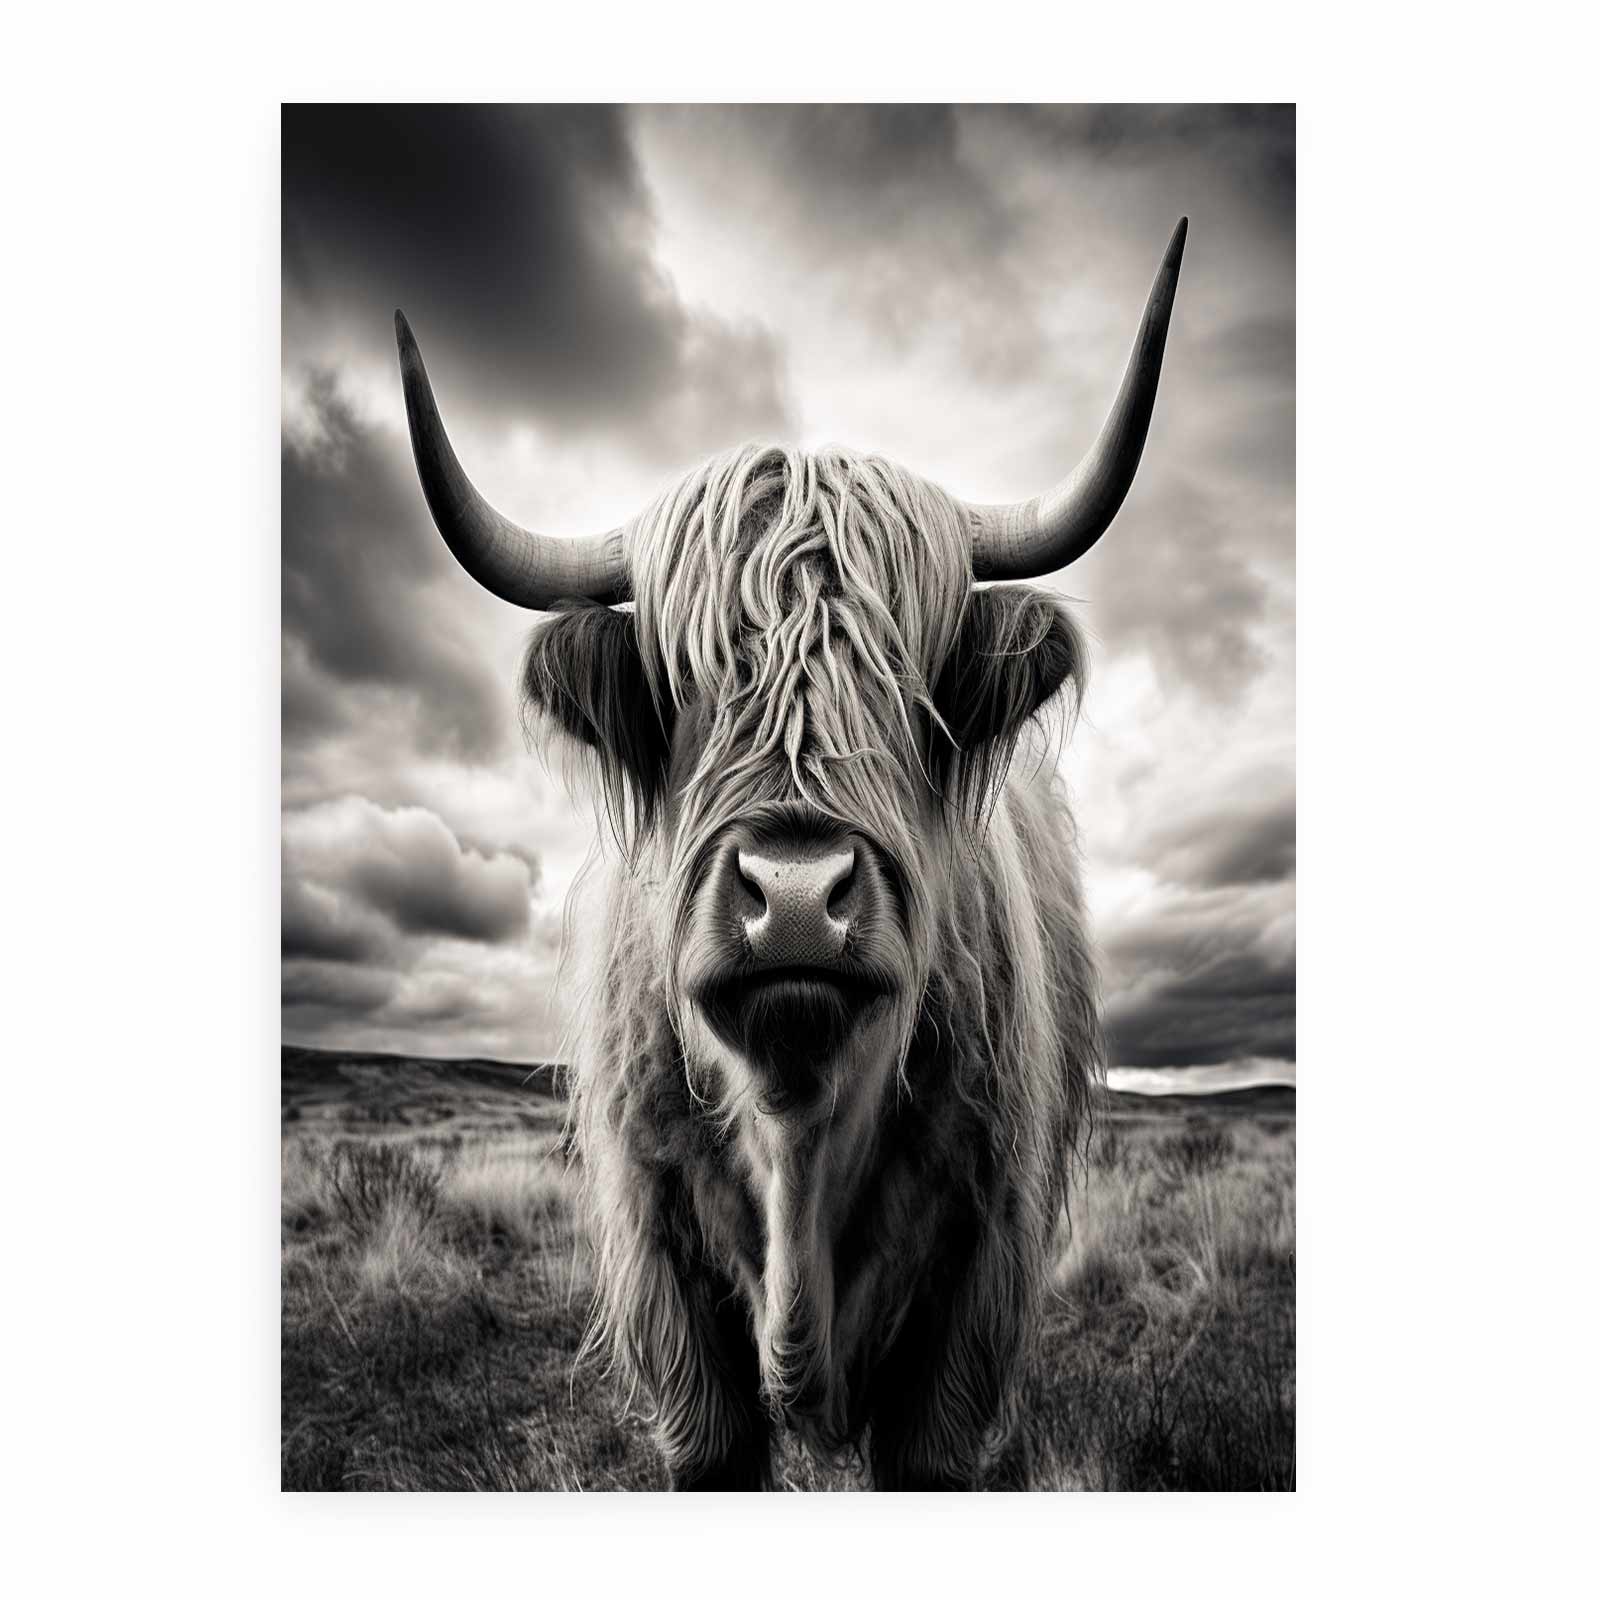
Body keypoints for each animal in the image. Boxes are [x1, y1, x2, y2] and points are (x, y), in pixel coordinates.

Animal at [393, 218, 1186, 1490]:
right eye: (686, 686)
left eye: (908, 693)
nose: (799, 898)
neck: (799, 1129)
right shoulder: (670, 1298)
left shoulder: (968, 1301)